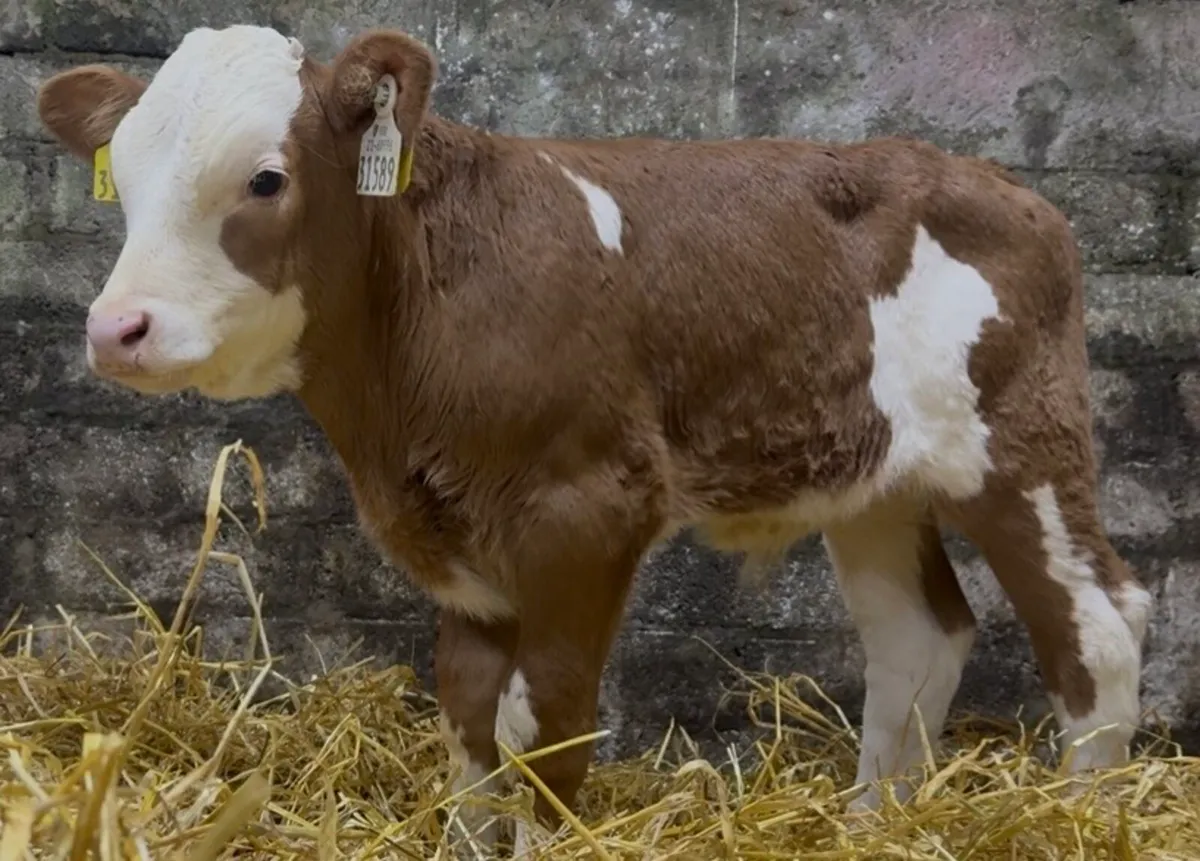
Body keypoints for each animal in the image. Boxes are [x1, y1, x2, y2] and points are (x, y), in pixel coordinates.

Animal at [37, 23, 1152, 854]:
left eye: (265, 179)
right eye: (122, 174)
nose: (116, 327)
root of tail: (1011, 189)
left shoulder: (589, 506)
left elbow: (546, 725)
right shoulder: (458, 537)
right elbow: (469, 718)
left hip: (1020, 443)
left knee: (1098, 626)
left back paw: (1086, 817)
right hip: (876, 477)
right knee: (915, 637)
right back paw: (867, 826)